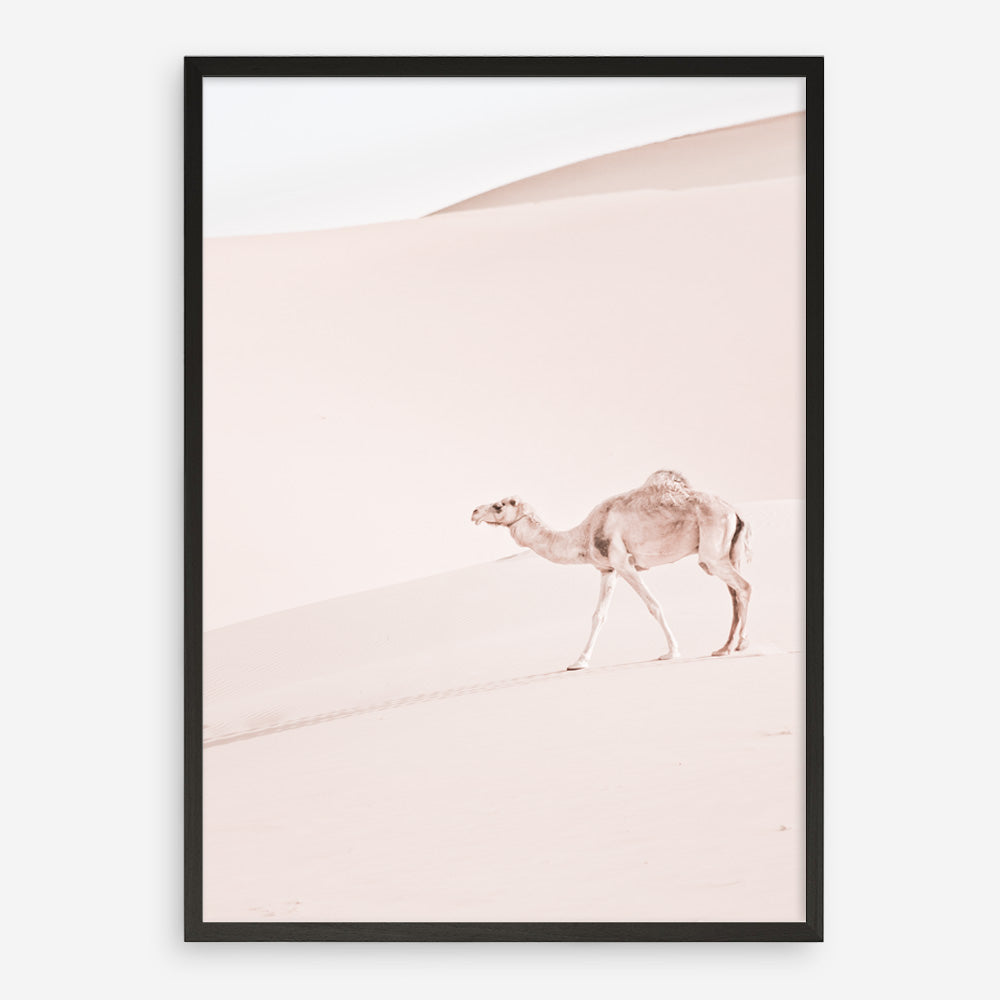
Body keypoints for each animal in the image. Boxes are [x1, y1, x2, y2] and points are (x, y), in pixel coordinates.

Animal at [471, 470, 751, 670]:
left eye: (499, 506)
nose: (474, 511)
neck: (585, 534)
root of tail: (734, 510)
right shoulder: (608, 569)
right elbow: (598, 616)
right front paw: (578, 662)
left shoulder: (624, 562)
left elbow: (654, 605)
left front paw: (672, 651)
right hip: (725, 552)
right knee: (734, 593)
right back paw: (725, 648)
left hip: (712, 551)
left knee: (744, 587)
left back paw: (742, 645)